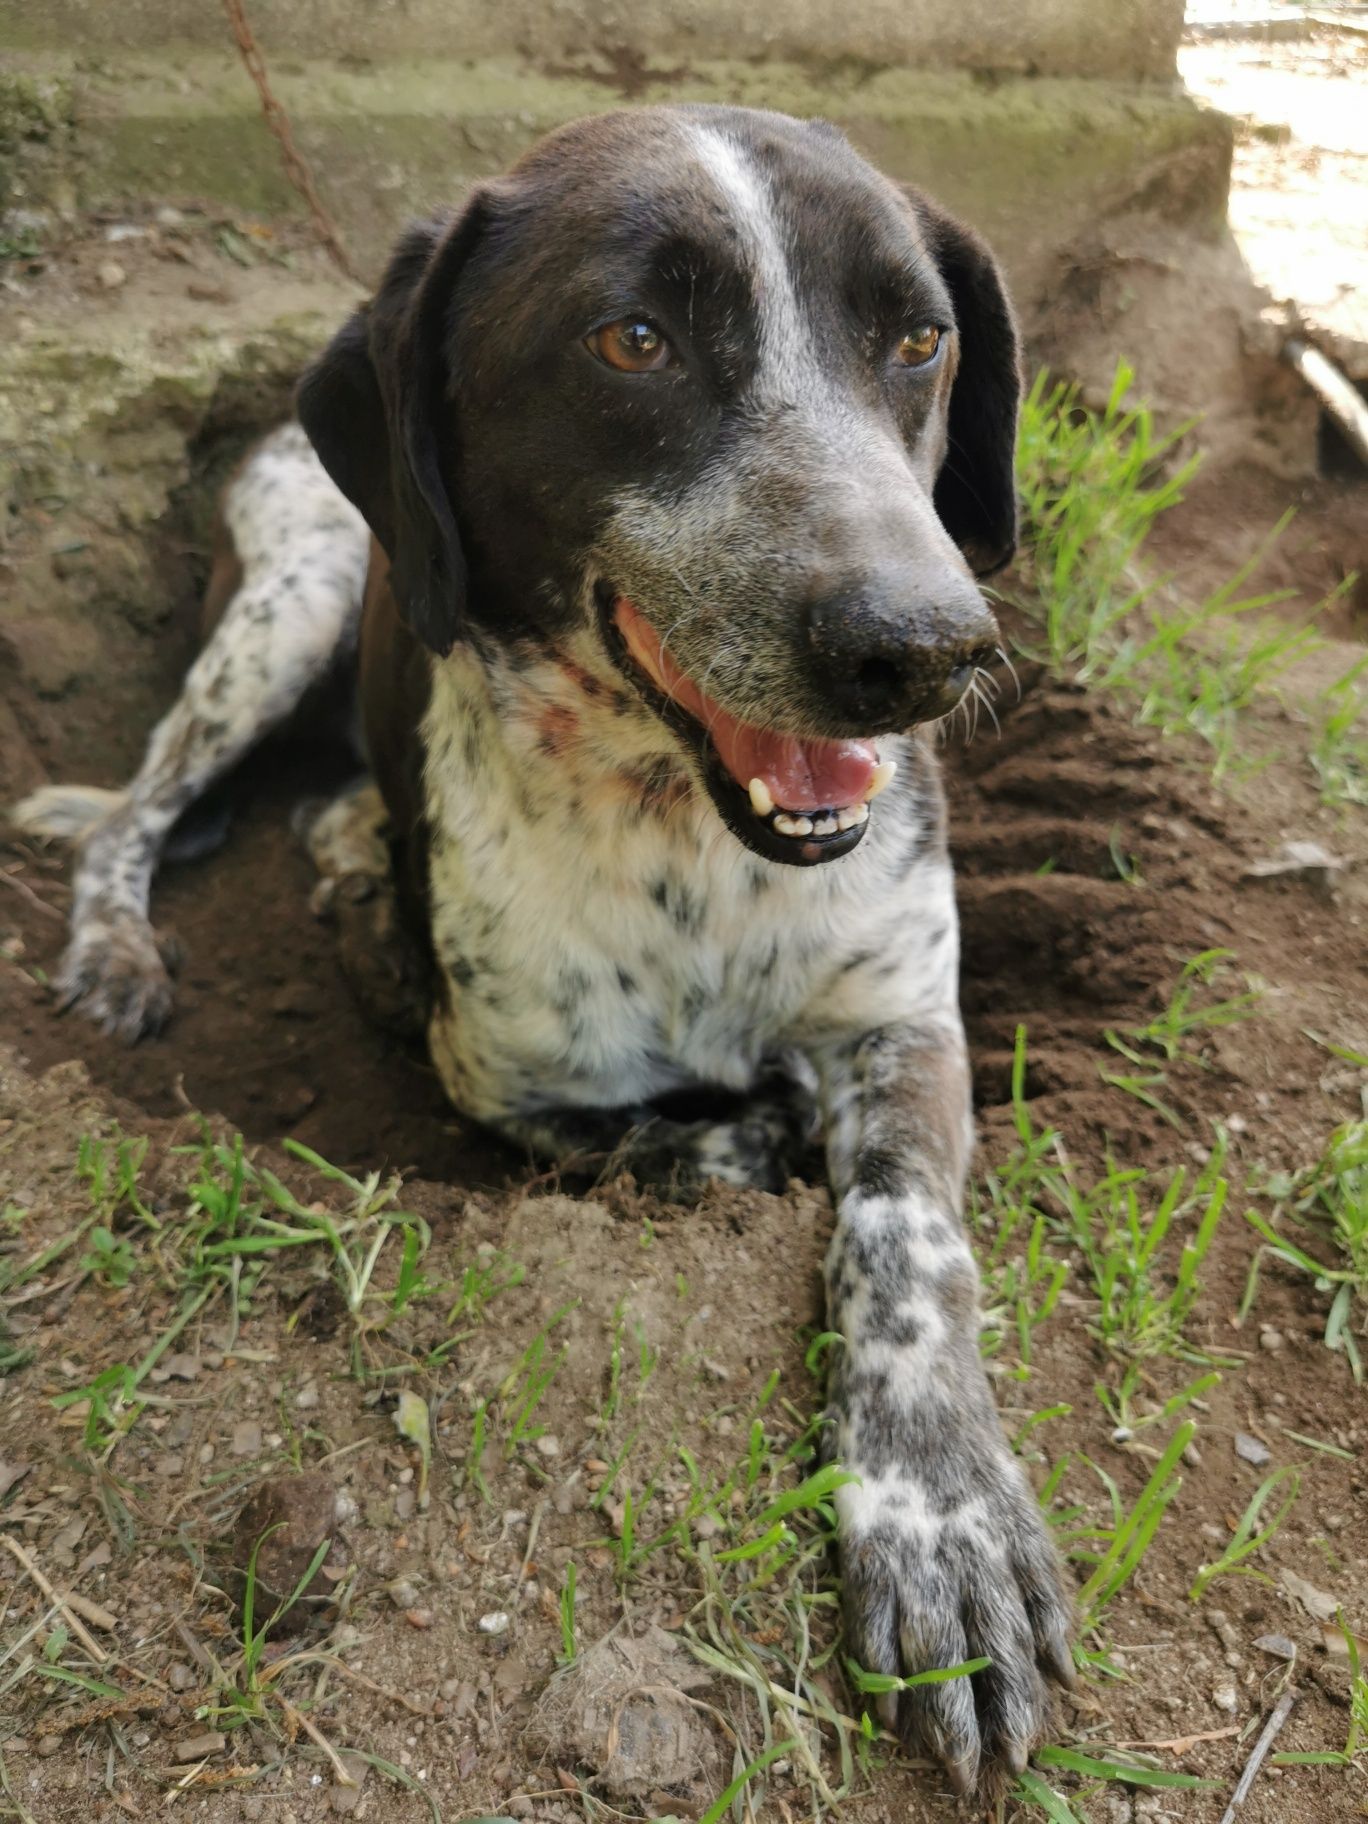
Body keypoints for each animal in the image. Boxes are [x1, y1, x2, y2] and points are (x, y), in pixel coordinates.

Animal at [13, 103, 1079, 1794]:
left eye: (920, 339)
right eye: (630, 339)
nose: (925, 648)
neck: (693, 844)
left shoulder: (906, 1025)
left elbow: (911, 1248)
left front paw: (946, 1520)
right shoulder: (507, 1091)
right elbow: (670, 1142)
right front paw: (745, 1132)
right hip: (298, 599)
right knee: (137, 810)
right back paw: (134, 943)